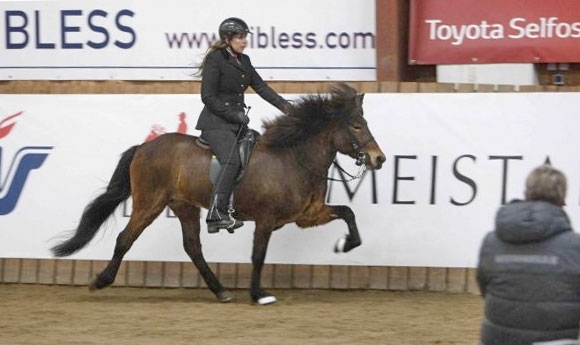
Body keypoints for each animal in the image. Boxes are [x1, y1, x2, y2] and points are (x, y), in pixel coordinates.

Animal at [49, 82, 386, 304]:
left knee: (193, 248)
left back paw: (220, 290)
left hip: (183, 206)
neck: (294, 158)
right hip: (149, 203)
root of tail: (144, 147)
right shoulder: (266, 219)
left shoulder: (307, 215)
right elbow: (258, 254)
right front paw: (258, 294)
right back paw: (100, 281)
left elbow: (347, 212)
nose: (378, 159)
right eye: (356, 126)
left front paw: (346, 244)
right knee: (125, 238)